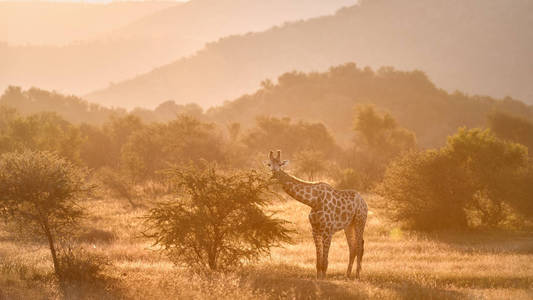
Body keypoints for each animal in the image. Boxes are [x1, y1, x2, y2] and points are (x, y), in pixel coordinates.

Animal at [264, 151, 366, 280]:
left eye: (280, 164)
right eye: (269, 164)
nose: (274, 174)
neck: (314, 201)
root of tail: (363, 201)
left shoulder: (328, 231)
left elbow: (325, 260)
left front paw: (324, 278)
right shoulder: (315, 230)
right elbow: (318, 260)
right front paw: (318, 277)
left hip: (360, 221)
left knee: (359, 245)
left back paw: (357, 275)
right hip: (348, 225)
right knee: (352, 247)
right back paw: (347, 275)